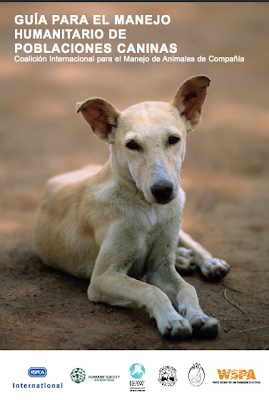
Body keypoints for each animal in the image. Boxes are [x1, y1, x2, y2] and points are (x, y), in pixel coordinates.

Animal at [34, 75, 229, 338]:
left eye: (174, 139)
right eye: (132, 145)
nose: (163, 190)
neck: (148, 209)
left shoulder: (160, 268)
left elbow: (188, 288)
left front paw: (200, 317)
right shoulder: (103, 278)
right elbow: (151, 290)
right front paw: (173, 319)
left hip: (177, 212)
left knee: (188, 240)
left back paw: (207, 262)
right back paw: (182, 258)